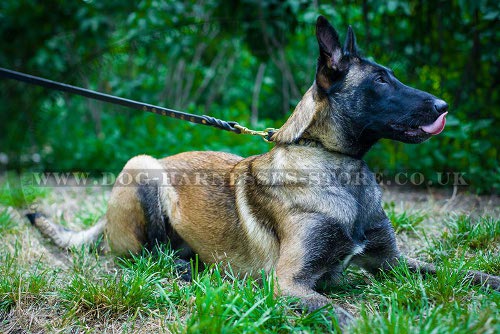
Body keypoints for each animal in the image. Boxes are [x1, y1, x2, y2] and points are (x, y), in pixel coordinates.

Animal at [29, 15, 498, 324]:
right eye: (380, 81)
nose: (443, 106)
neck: (336, 166)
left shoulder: (390, 261)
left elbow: (459, 272)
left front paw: (489, 279)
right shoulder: (289, 283)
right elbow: (348, 314)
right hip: (143, 168)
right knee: (142, 256)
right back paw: (183, 267)